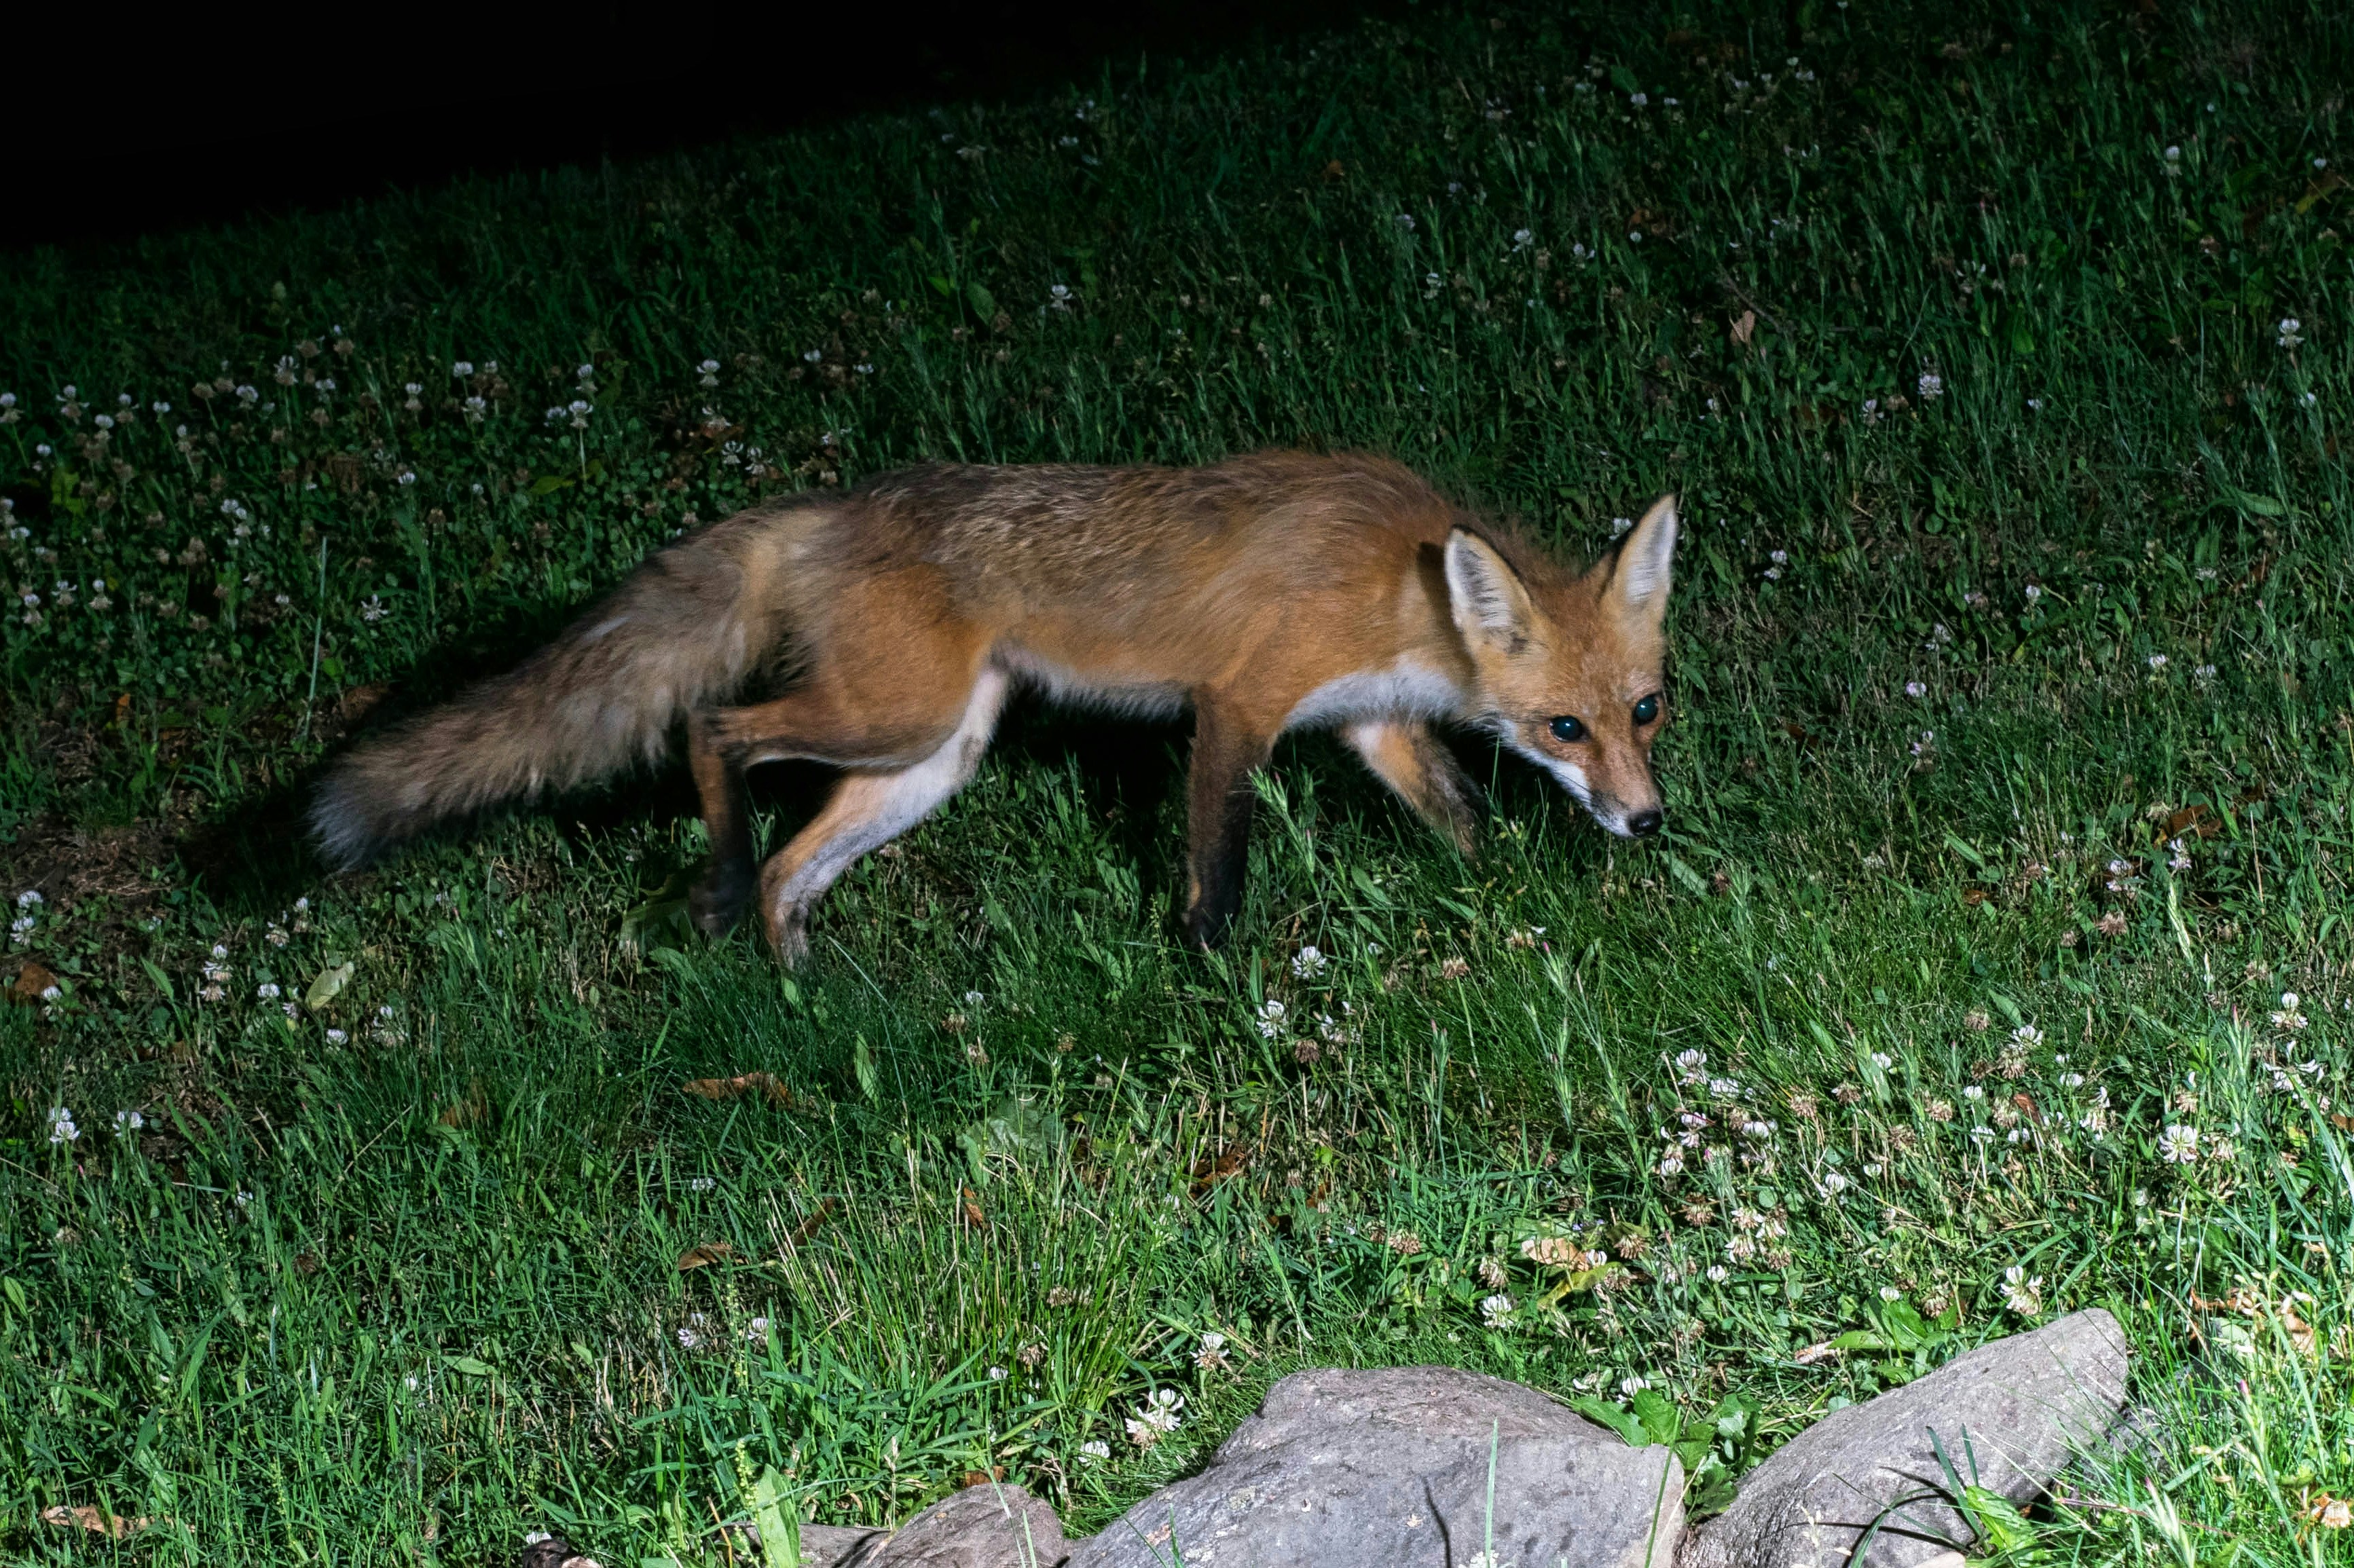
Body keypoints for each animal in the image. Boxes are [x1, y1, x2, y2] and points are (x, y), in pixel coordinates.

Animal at [310, 451, 1677, 963]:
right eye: (1564, 727)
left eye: (1646, 711)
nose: (1648, 822)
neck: (1401, 582)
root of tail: (827, 510)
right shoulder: (1233, 706)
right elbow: (1216, 873)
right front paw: (1208, 983)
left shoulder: (1369, 723)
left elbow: (1460, 823)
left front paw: (1505, 909)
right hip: (891, 718)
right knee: (715, 734)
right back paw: (719, 889)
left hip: (930, 758)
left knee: (795, 868)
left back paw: (805, 1000)